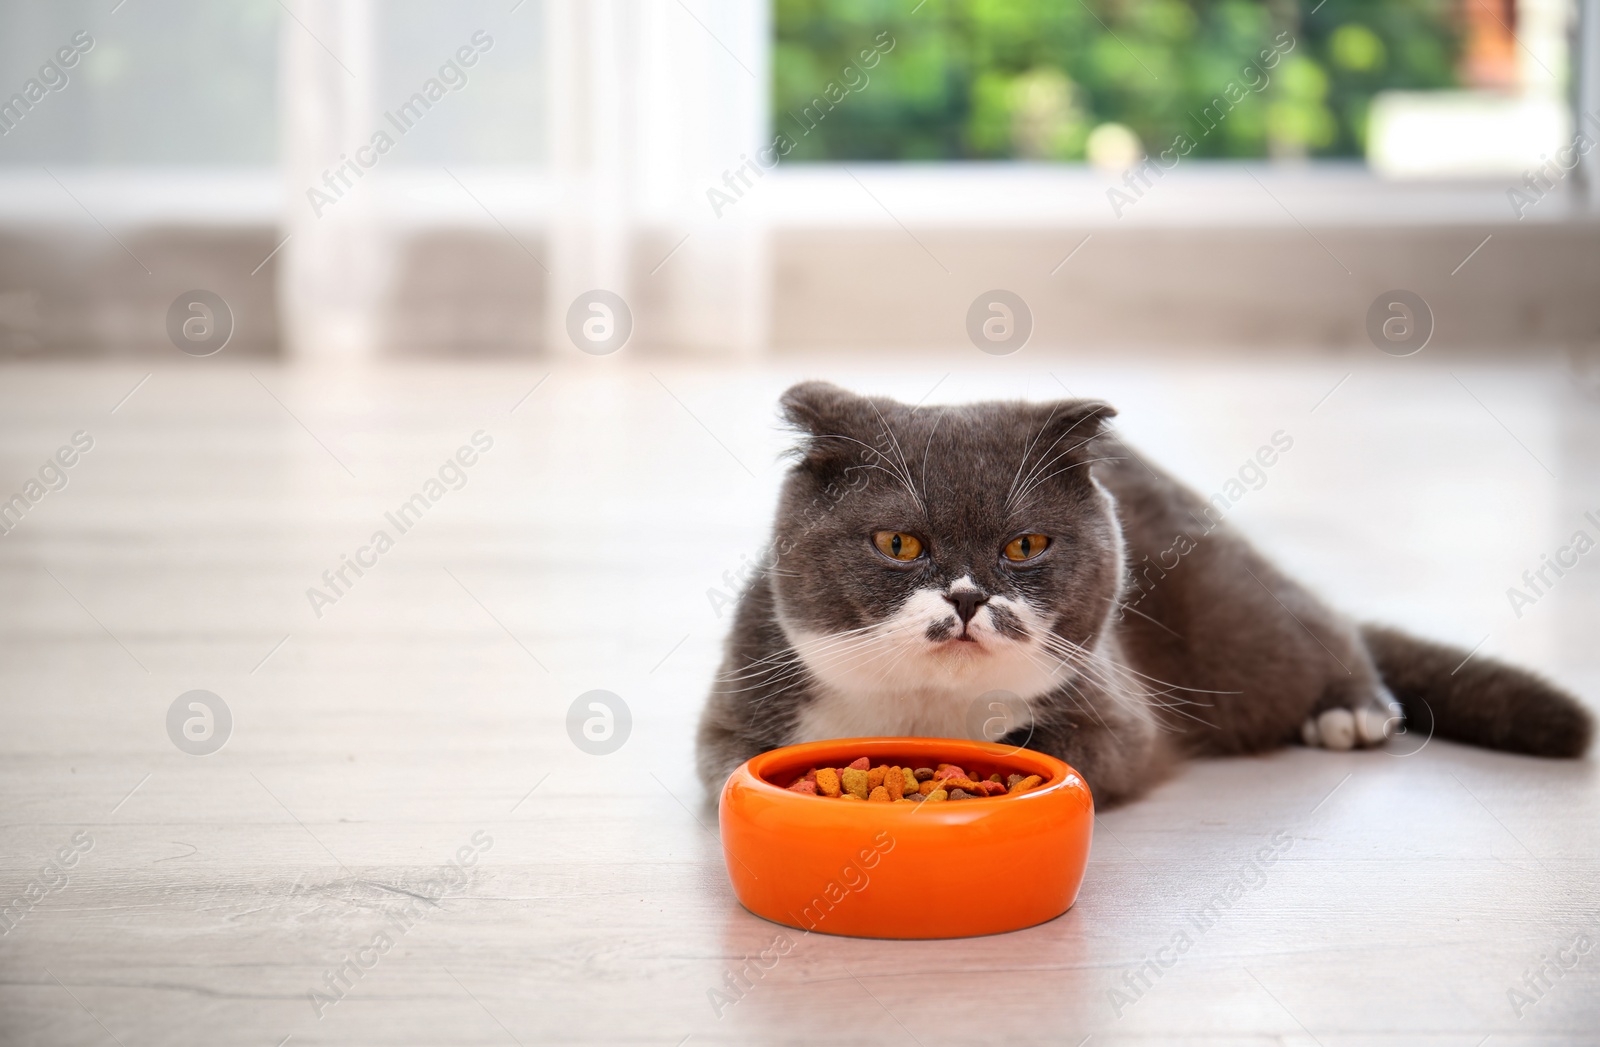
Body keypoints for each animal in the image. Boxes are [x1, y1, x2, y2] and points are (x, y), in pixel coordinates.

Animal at [694, 385, 1593, 813]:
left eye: (1025, 546)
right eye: (899, 544)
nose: (969, 597)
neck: (924, 708)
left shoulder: (1115, 707)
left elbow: (1093, 750)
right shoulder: (738, 704)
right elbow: (730, 767)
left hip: (1239, 618)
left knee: (1320, 623)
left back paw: (1353, 709)